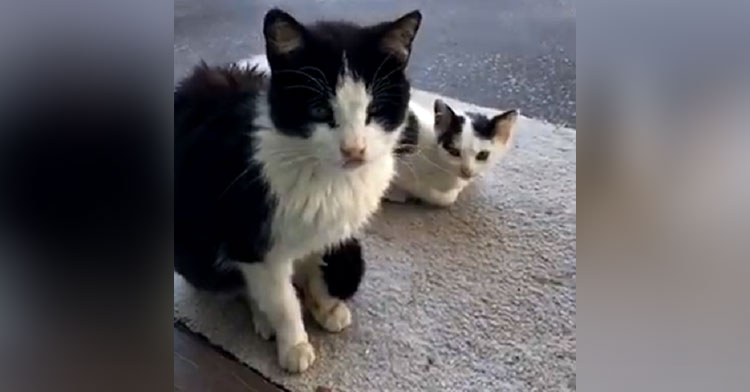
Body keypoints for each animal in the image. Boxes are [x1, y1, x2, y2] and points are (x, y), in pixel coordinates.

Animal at [175, 7, 424, 372]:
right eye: (319, 110)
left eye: (374, 110)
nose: (354, 150)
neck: (326, 179)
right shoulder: (251, 234)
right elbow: (281, 299)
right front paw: (293, 343)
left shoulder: (326, 229)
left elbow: (317, 263)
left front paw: (324, 304)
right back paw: (263, 318)